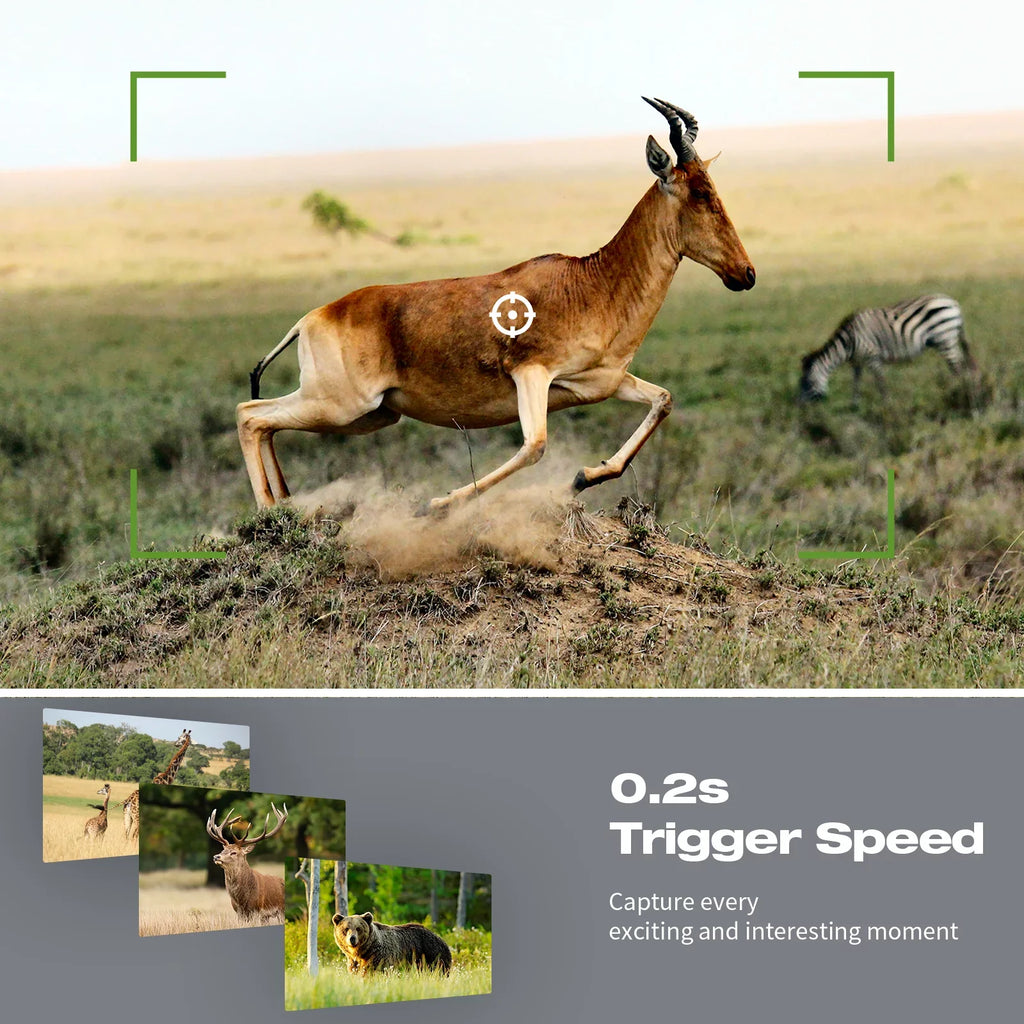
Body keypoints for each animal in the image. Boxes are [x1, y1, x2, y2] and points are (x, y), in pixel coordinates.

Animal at [236, 97, 755, 513]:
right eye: (700, 193)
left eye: (714, 189)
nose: (745, 274)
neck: (591, 282)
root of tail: (313, 317)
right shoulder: (531, 373)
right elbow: (535, 445)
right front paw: (439, 503)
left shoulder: (601, 383)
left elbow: (662, 401)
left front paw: (584, 477)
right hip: (341, 404)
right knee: (250, 413)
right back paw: (269, 515)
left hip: (372, 414)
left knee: (265, 422)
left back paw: (286, 505)